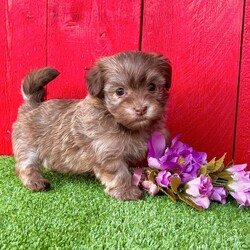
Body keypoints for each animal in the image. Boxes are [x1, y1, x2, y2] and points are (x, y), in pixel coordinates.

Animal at [12, 51, 172, 201]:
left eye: (152, 87)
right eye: (120, 91)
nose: (141, 109)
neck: (120, 123)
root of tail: (32, 104)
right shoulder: (107, 153)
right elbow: (119, 174)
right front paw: (126, 191)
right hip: (26, 146)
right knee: (26, 166)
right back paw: (35, 181)